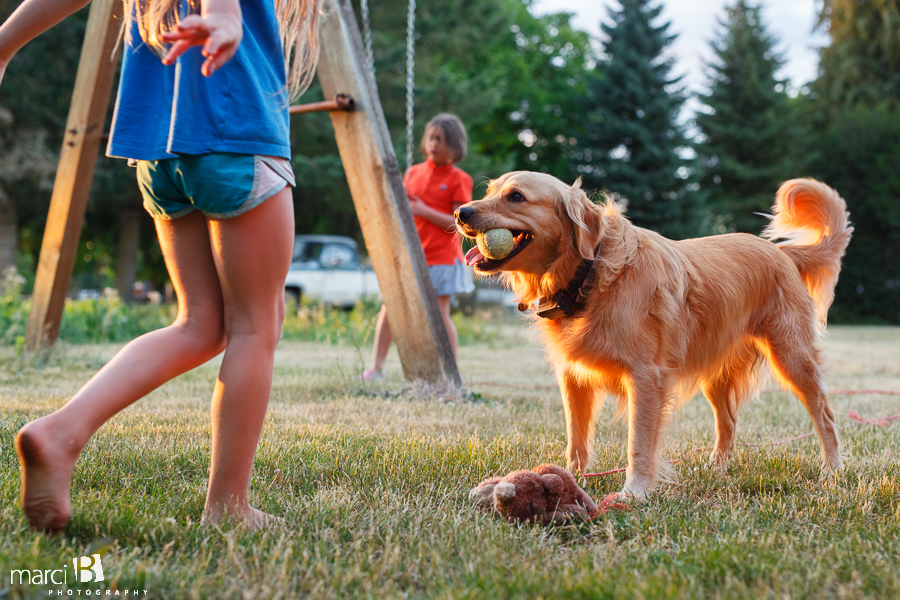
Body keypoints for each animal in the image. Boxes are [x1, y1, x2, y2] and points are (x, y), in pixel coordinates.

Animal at [458, 172, 852, 496]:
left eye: (516, 197)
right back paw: (716, 468)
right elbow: (576, 441)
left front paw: (634, 493)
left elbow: (639, 443)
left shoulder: (646, 377)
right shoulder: (573, 377)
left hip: (792, 357)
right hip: (716, 373)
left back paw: (832, 470)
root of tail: (780, 251)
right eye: (489, 191)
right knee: (728, 421)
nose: (461, 212)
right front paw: (570, 480)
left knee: (825, 416)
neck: (590, 272)